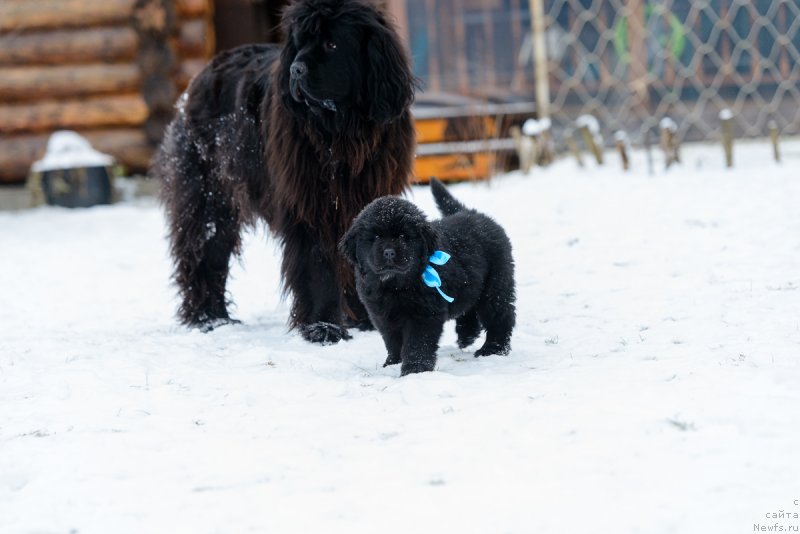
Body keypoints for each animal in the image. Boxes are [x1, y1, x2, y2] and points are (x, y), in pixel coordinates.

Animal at [153, 0, 416, 344]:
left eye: (332, 44)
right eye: (300, 43)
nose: (295, 69)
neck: (343, 130)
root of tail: (199, 77)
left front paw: (366, 319)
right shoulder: (310, 204)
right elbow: (317, 266)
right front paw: (323, 327)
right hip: (208, 194)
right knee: (204, 250)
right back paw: (208, 318)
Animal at [340, 180, 520, 376]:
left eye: (403, 236)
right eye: (376, 237)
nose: (389, 252)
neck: (395, 285)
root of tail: (473, 213)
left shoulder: (424, 314)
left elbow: (417, 342)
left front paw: (414, 369)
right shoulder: (383, 314)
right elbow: (392, 340)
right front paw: (392, 362)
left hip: (495, 284)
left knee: (500, 316)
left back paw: (494, 349)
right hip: (470, 284)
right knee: (469, 308)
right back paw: (467, 336)